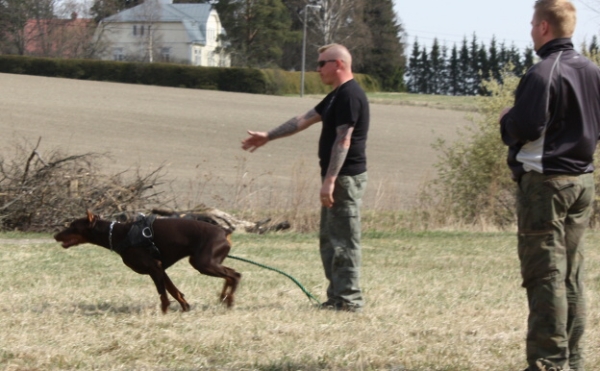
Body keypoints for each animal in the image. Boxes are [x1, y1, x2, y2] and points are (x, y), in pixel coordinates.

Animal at [54, 211, 241, 312]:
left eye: (73, 226)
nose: (55, 235)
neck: (118, 234)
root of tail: (224, 232)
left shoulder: (154, 268)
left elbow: (163, 295)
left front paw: (164, 313)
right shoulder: (160, 269)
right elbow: (175, 292)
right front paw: (185, 308)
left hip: (204, 263)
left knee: (235, 275)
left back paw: (229, 300)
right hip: (202, 261)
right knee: (230, 275)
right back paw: (224, 297)